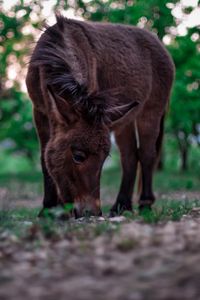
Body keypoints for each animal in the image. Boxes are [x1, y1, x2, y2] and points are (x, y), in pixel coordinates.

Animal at [25, 14, 174, 218]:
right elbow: (43, 157)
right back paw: (121, 206)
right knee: (130, 156)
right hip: (124, 119)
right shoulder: (40, 112)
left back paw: (144, 205)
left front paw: (56, 210)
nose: (93, 213)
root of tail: (159, 42)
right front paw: (49, 209)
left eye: (104, 159)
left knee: (147, 154)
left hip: (151, 111)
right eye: (78, 156)